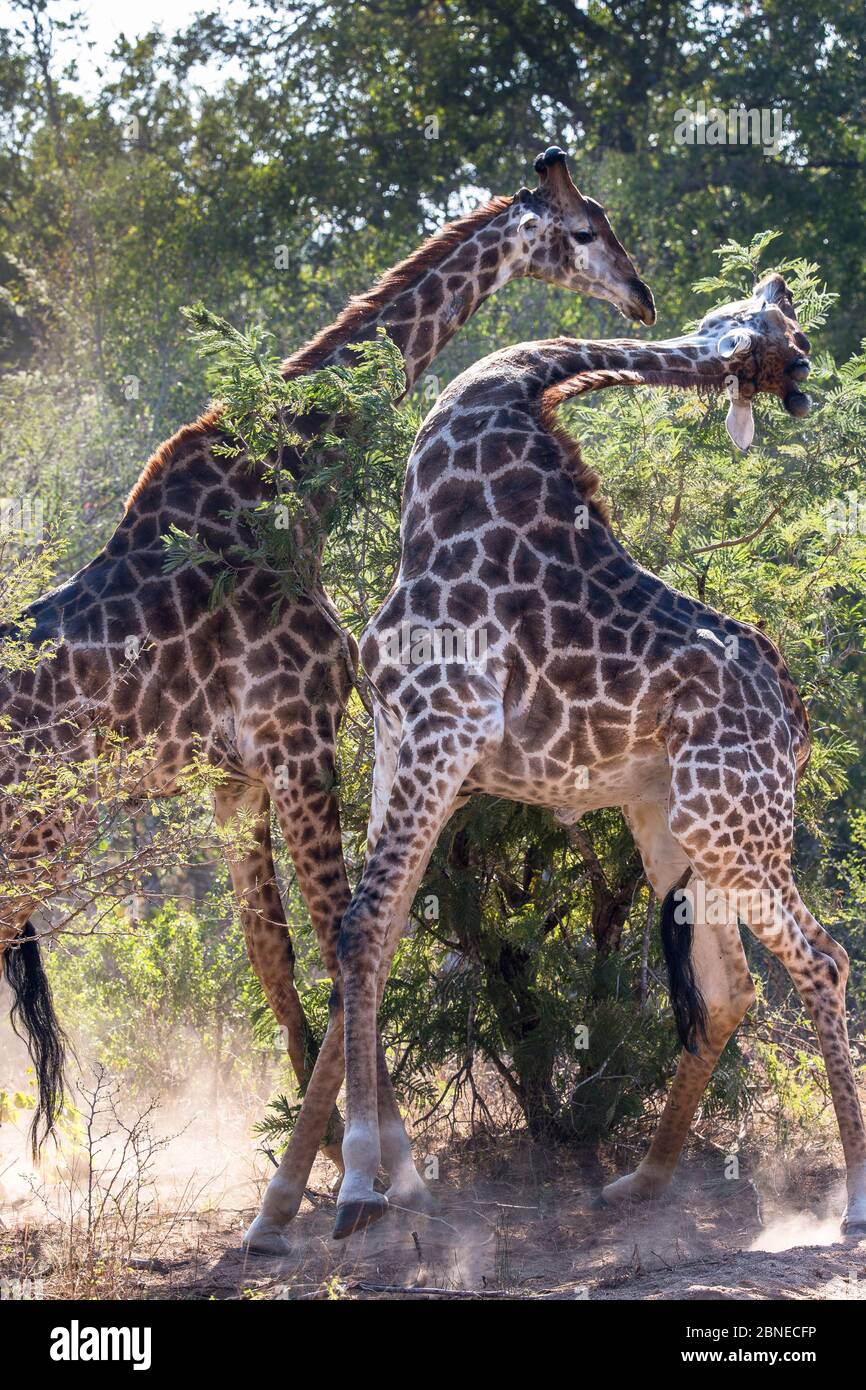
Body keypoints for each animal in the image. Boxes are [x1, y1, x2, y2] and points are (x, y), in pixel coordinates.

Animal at [0, 149, 650, 1184]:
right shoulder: (299, 738)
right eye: (586, 229)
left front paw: (317, 1159)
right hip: (38, 835)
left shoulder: (236, 777)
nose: (641, 295)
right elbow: (346, 932)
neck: (288, 487)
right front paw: (380, 1155)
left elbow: (276, 955)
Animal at [241, 271, 866, 1251]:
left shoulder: (441, 728)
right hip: (673, 823)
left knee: (822, 961)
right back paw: (641, 1183)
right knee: (730, 989)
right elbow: (364, 940)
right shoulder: (399, 740)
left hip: (737, 824)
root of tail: (797, 724)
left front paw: (360, 1188)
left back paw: (852, 1201)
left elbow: (363, 930)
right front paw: (278, 1207)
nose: (800, 372)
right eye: (781, 332)